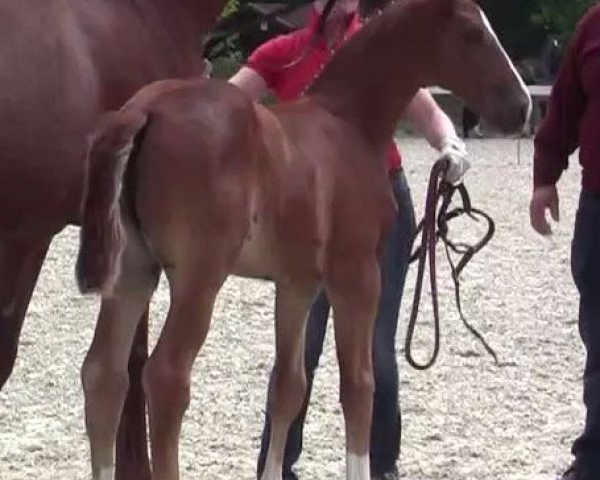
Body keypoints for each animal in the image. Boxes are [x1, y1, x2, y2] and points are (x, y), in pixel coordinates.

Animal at [75, 1, 528, 478]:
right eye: (472, 33)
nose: (522, 108)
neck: (349, 123)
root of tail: (145, 109)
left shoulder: (298, 283)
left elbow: (289, 385)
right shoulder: (357, 275)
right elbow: (358, 384)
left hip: (133, 272)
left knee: (104, 375)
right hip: (199, 279)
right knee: (166, 377)